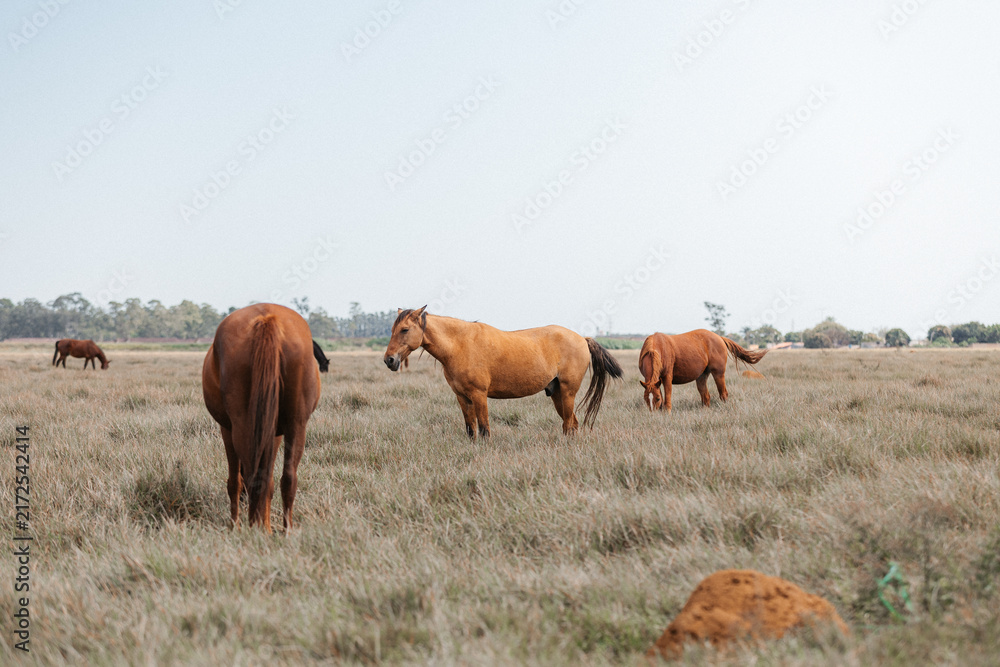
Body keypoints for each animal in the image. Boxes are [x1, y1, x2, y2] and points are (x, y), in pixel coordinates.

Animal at [201, 304, 320, 532]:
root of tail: (268, 318)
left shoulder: (226, 429)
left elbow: (234, 482)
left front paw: (235, 525)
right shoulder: (274, 434)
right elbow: (269, 480)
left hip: (242, 426)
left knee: (250, 477)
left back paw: (251, 527)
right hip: (297, 425)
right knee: (287, 478)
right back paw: (283, 530)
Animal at [383, 307, 623, 437]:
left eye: (404, 329)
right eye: (392, 329)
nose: (389, 360)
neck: (460, 346)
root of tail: (582, 338)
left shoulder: (479, 395)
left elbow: (484, 429)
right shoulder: (462, 397)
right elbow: (471, 429)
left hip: (567, 392)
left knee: (569, 423)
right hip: (556, 393)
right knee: (570, 423)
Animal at [638, 330, 766, 412]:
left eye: (657, 399)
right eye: (645, 399)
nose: (653, 414)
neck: (657, 347)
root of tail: (719, 337)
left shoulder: (667, 377)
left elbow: (667, 396)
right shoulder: (654, 380)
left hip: (718, 374)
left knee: (723, 394)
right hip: (702, 376)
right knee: (706, 396)